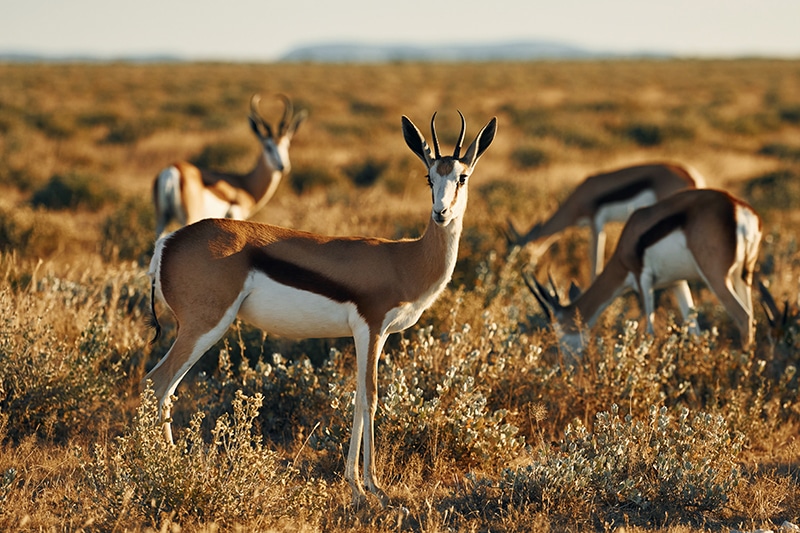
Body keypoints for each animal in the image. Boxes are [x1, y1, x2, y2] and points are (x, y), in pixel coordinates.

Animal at [145, 111, 497, 506]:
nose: (441, 212)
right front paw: (374, 488)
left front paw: (356, 486)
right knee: (158, 382)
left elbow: (357, 397)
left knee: (166, 387)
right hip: (205, 325)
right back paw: (168, 466)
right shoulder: (370, 328)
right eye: (429, 177)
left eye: (461, 177)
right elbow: (371, 398)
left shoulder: (377, 336)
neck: (405, 260)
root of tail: (167, 243)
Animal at [153, 94, 307, 239]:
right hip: (189, 218)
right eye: (268, 146)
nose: (283, 166)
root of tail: (172, 170)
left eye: (287, 144)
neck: (245, 184)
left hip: (162, 219)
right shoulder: (237, 216)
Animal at [506, 162, 705, 279]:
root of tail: (691, 175)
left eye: (518, 252)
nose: (506, 272)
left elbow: (595, 262)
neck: (580, 197)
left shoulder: (596, 223)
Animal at [523, 189, 762, 354]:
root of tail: (739, 209)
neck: (628, 241)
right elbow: (694, 330)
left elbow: (650, 332)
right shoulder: (677, 283)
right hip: (743, 277)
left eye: (559, 330)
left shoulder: (642, 279)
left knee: (744, 317)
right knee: (751, 318)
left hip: (717, 279)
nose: (567, 364)